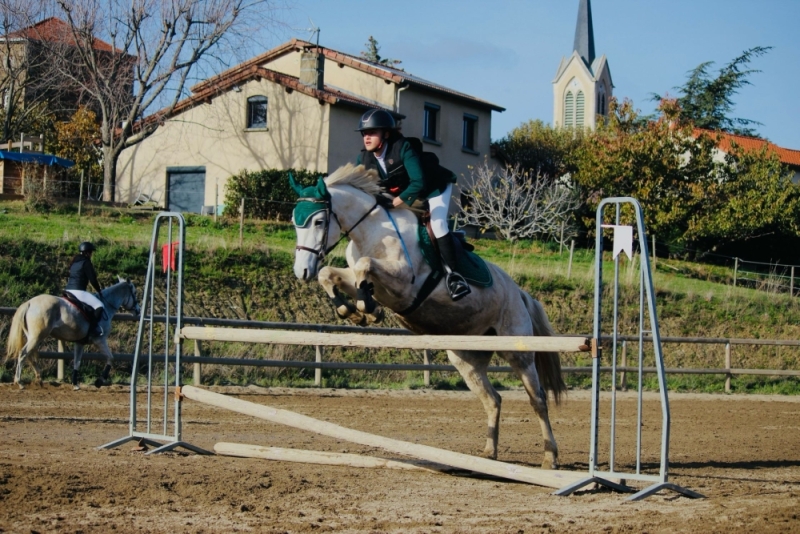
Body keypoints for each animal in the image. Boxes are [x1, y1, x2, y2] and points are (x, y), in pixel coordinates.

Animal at [5, 278, 141, 392]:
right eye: (134, 293)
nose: (138, 311)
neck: (107, 305)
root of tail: (29, 303)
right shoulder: (100, 340)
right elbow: (111, 358)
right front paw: (99, 382)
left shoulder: (80, 342)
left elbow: (77, 362)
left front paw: (75, 384)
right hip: (37, 336)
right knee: (23, 353)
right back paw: (20, 382)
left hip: (34, 337)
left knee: (30, 354)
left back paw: (39, 380)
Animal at [290, 163, 564, 468]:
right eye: (294, 222)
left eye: (318, 222)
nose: (301, 271)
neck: (372, 230)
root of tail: (520, 293)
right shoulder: (367, 281)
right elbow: (331, 274)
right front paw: (352, 311)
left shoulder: (403, 283)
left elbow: (365, 265)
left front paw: (367, 309)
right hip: (465, 357)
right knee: (493, 399)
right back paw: (489, 453)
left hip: (519, 351)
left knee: (537, 399)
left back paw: (550, 457)